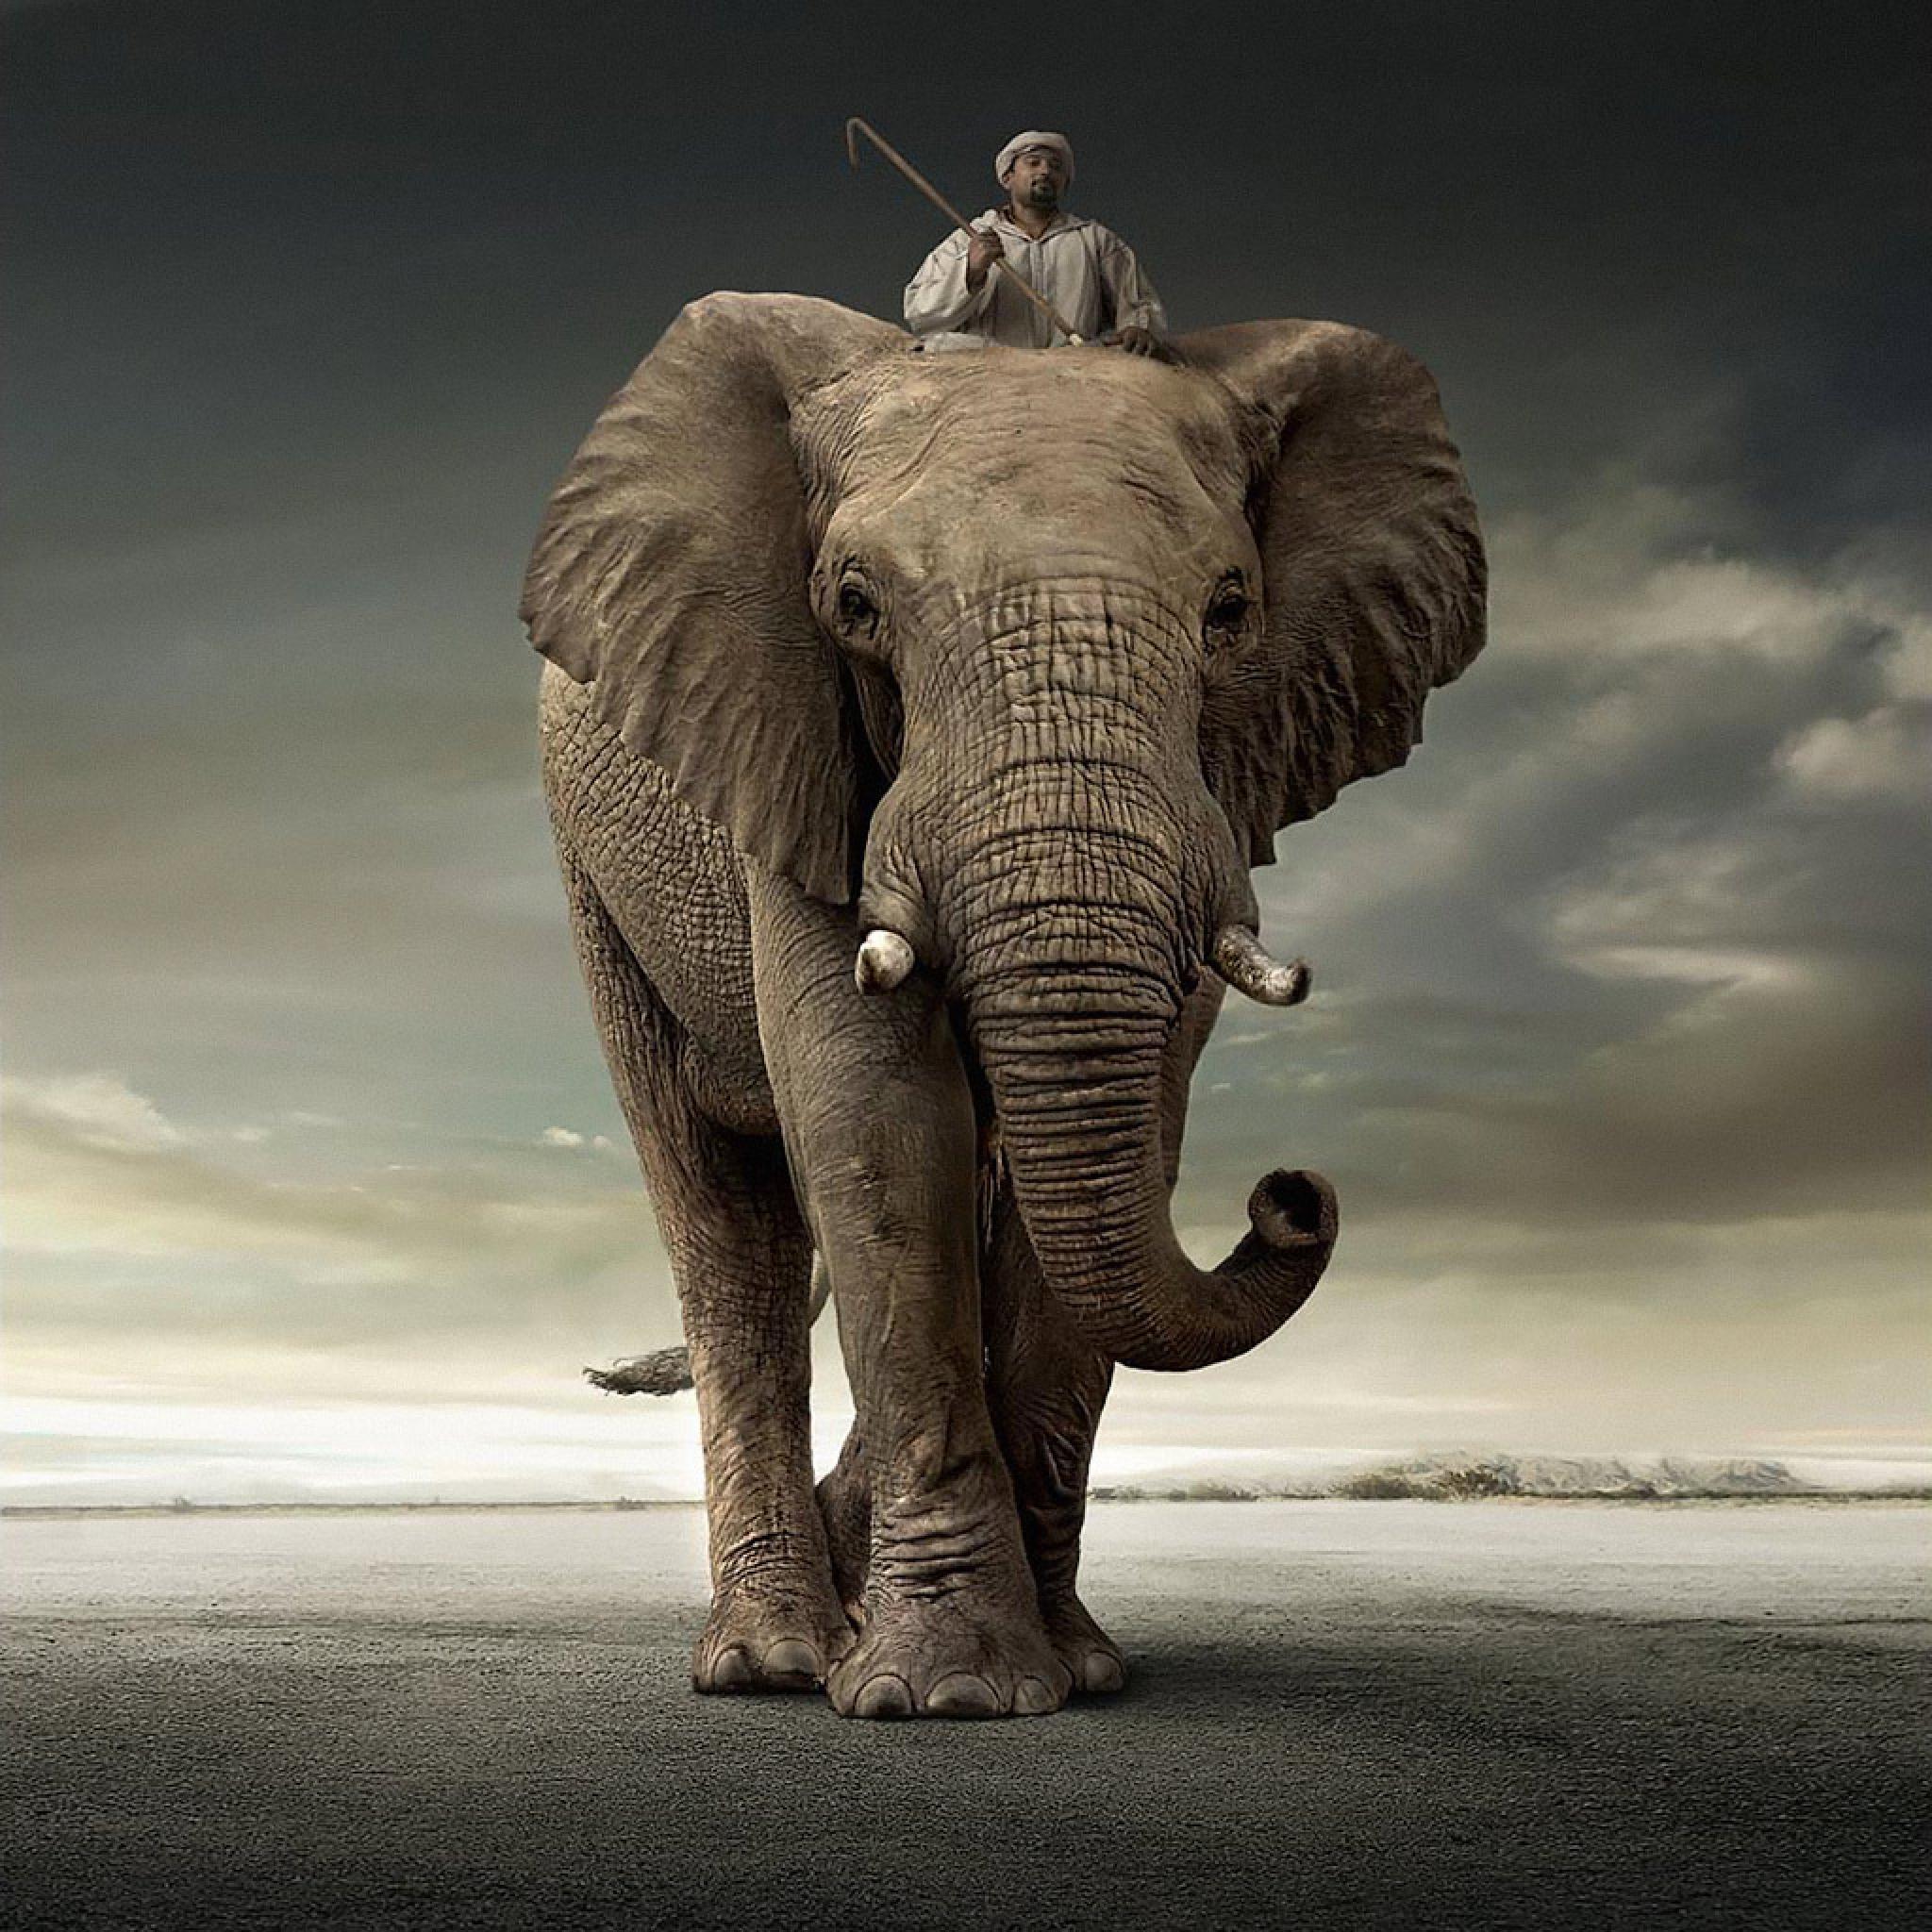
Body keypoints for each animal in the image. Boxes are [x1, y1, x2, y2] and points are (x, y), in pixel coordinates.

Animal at [523, 293, 1485, 1719]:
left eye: (1231, 606)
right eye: (854, 603)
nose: (1292, 1193)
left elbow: (1118, 1127)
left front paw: (1075, 1672)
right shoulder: (795, 740)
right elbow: (872, 1114)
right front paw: (945, 1696)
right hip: (597, 873)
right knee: (725, 1224)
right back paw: (775, 1660)